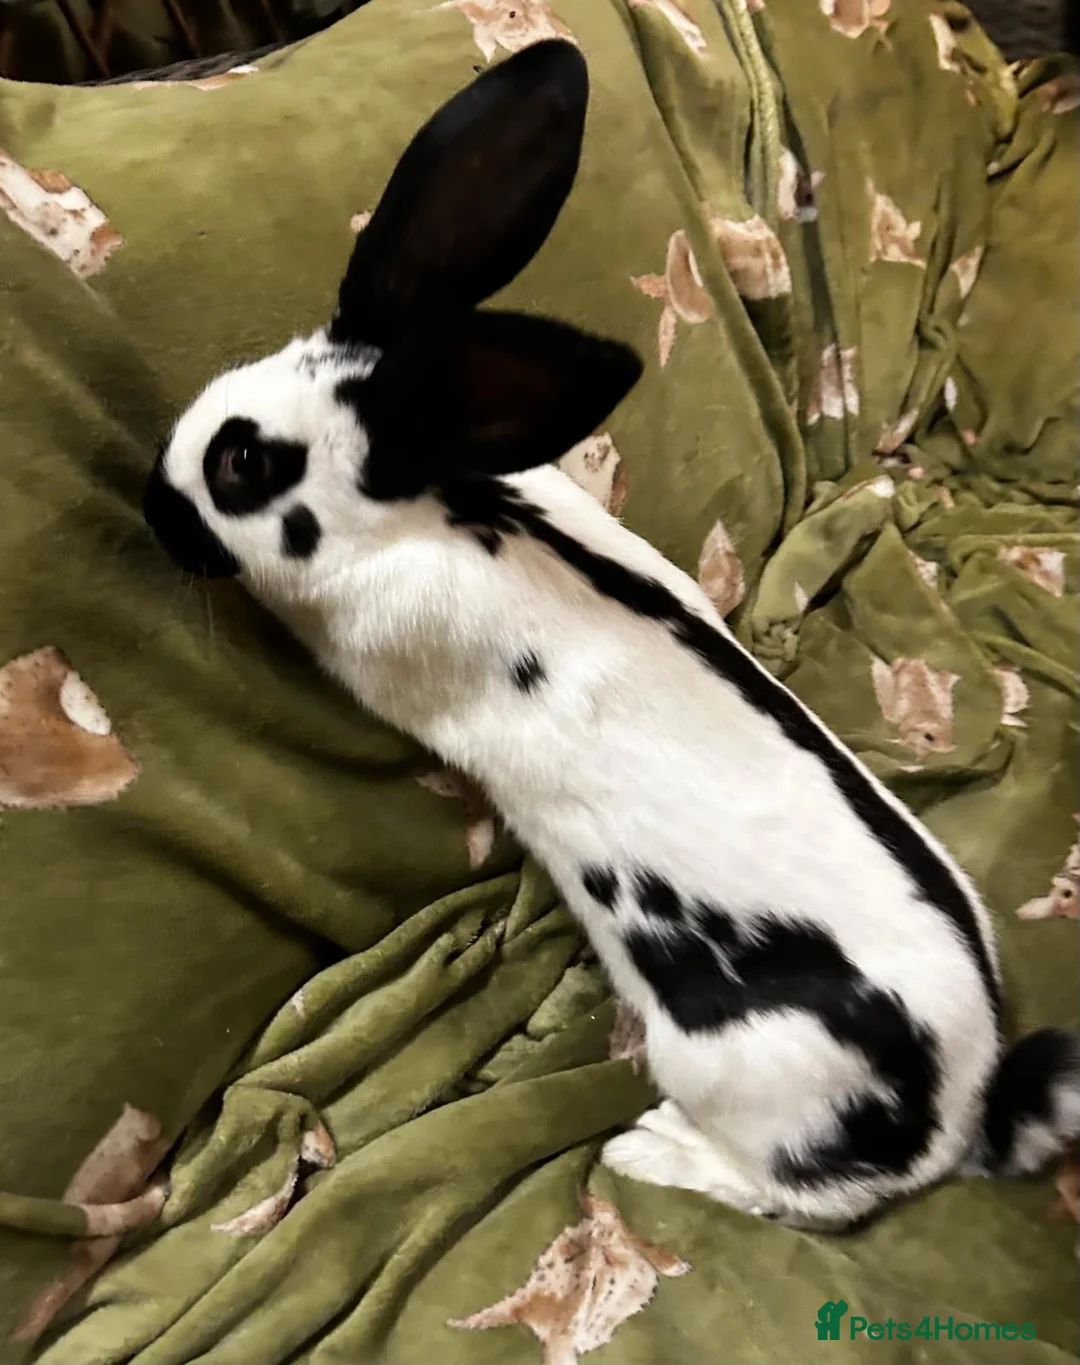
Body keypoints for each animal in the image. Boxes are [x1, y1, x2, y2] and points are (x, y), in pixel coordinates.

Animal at [143, 39, 1080, 1231]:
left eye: (242, 464)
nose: (150, 502)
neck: (436, 508)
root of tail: (959, 1113)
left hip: (734, 1070)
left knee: (795, 1197)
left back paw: (652, 1153)